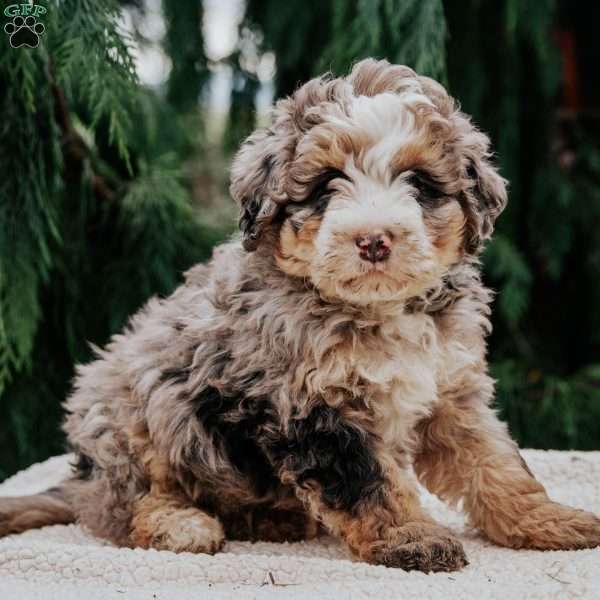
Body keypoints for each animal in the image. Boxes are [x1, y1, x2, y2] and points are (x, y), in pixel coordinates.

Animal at [1, 59, 600, 572]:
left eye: (420, 184)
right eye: (326, 184)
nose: (374, 241)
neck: (376, 310)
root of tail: (83, 477)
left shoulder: (453, 393)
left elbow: (495, 463)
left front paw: (550, 520)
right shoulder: (310, 407)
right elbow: (368, 482)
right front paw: (412, 538)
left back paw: (276, 516)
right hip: (130, 416)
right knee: (127, 504)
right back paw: (183, 525)